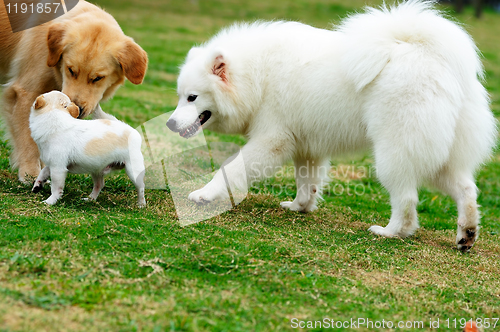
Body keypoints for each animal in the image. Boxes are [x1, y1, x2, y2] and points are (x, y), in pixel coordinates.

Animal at [0, 0, 147, 182]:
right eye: (71, 70)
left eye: (98, 78)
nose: (77, 110)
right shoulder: (26, 93)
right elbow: (28, 139)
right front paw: (30, 173)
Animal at [167, 0, 496, 249]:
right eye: (180, 97)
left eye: (193, 97)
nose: (169, 123)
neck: (256, 75)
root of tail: (434, 58)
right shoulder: (305, 146)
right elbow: (307, 183)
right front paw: (300, 207)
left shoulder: (272, 140)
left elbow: (231, 169)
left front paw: (204, 195)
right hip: (442, 156)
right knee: (467, 190)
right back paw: (466, 235)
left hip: (395, 152)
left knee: (406, 199)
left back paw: (390, 232)